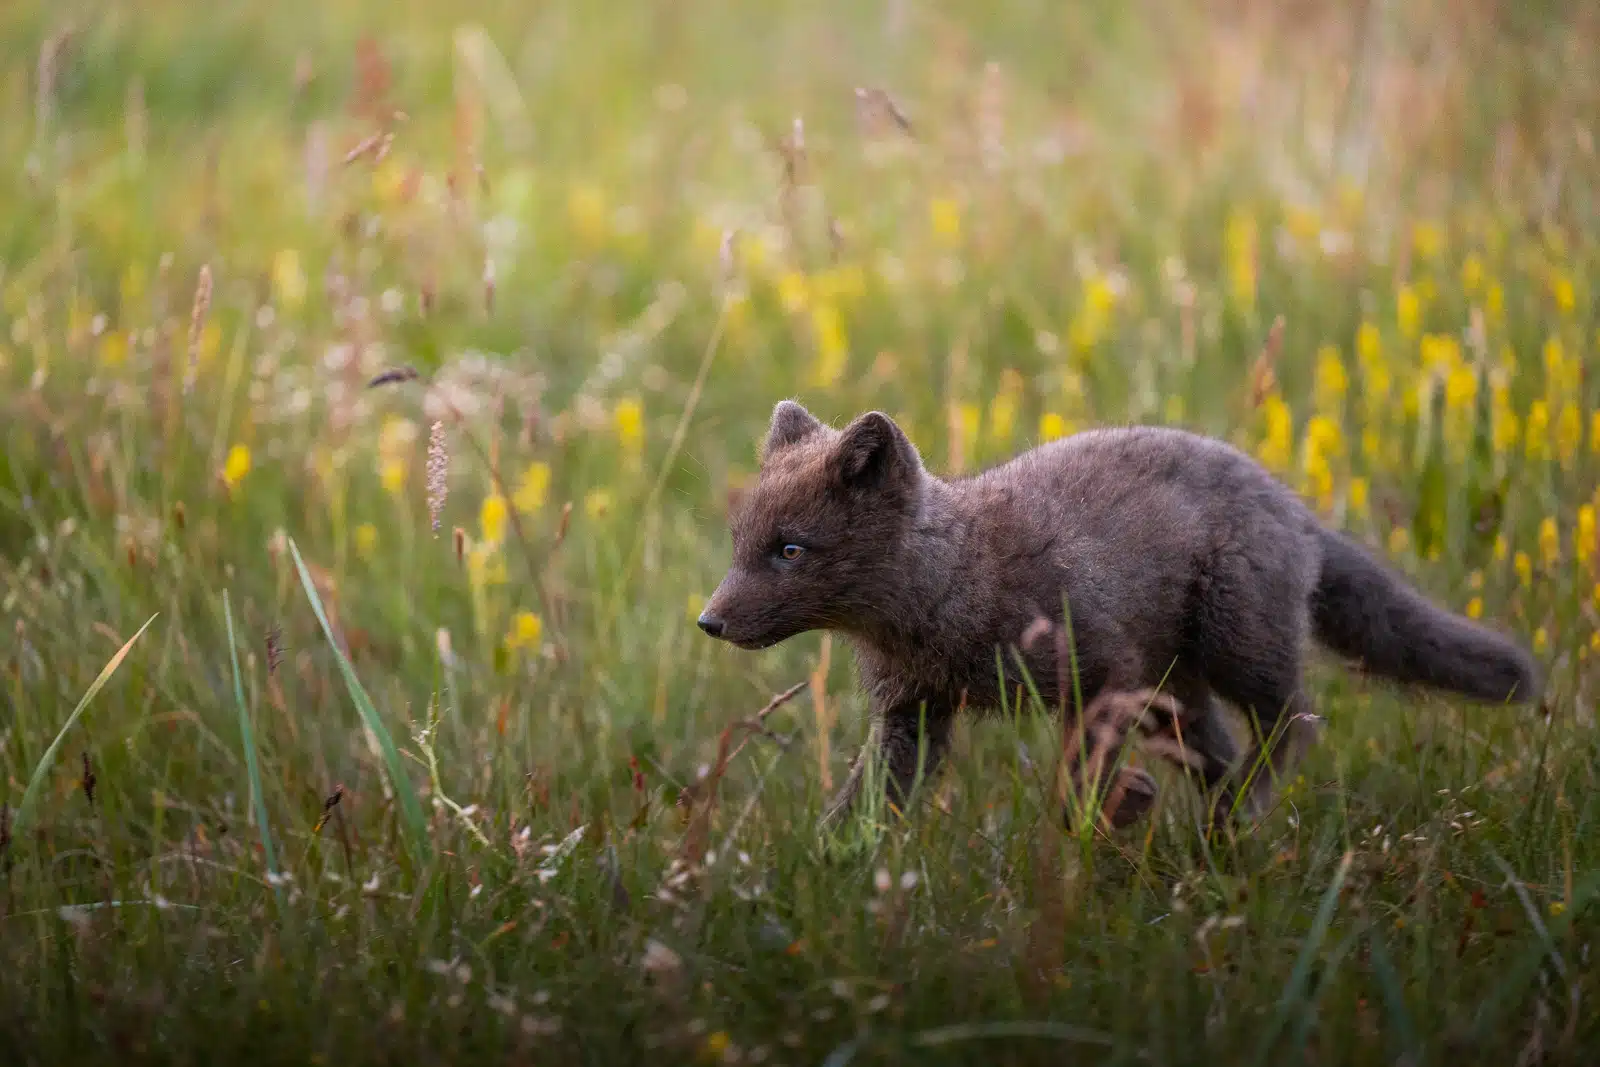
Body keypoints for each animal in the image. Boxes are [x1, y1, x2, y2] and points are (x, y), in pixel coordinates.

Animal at [697, 400, 1541, 834]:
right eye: (740, 543)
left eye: (790, 549)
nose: (708, 622)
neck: (954, 594)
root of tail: (1292, 506)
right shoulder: (914, 714)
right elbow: (868, 802)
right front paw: (830, 868)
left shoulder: (1100, 675)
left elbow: (1080, 781)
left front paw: (1104, 820)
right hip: (1176, 694)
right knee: (1226, 748)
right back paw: (1218, 834)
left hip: (1235, 648)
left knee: (1294, 721)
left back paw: (1231, 821)